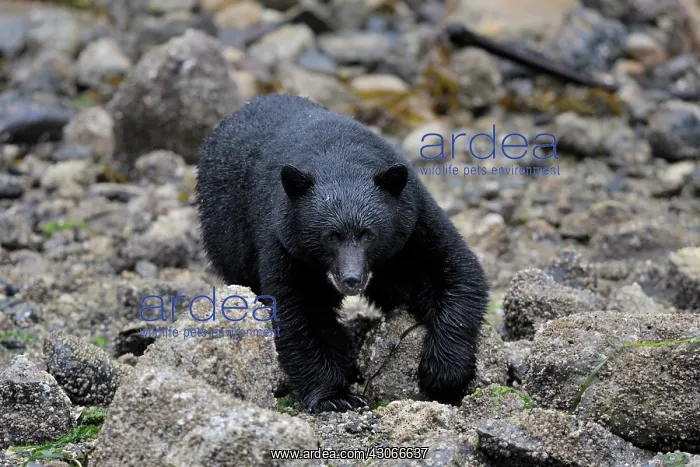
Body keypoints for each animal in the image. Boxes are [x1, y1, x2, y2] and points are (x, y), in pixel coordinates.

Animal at [196, 94, 489, 413]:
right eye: (330, 237)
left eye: (369, 235)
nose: (351, 279)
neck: (339, 161)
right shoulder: (283, 237)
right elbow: (300, 313)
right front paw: (335, 395)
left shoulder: (413, 218)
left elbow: (452, 271)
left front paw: (443, 372)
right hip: (228, 233)